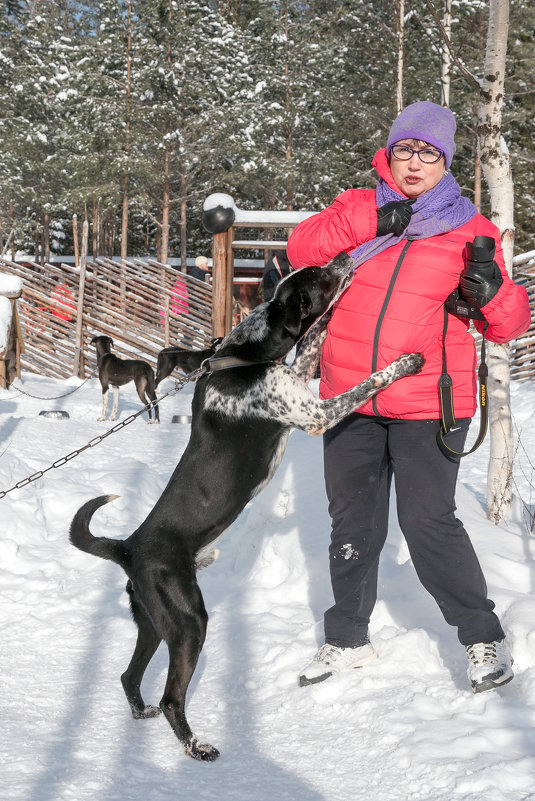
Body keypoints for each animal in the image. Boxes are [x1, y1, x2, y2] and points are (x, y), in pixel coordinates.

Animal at [70, 256, 422, 764]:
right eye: (320, 277)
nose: (345, 259)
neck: (244, 356)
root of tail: (129, 547)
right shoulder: (315, 414)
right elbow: (368, 380)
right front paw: (406, 363)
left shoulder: (298, 380)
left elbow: (312, 342)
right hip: (189, 623)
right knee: (171, 696)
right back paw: (196, 746)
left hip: (153, 625)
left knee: (128, 676)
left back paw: (142, 714)